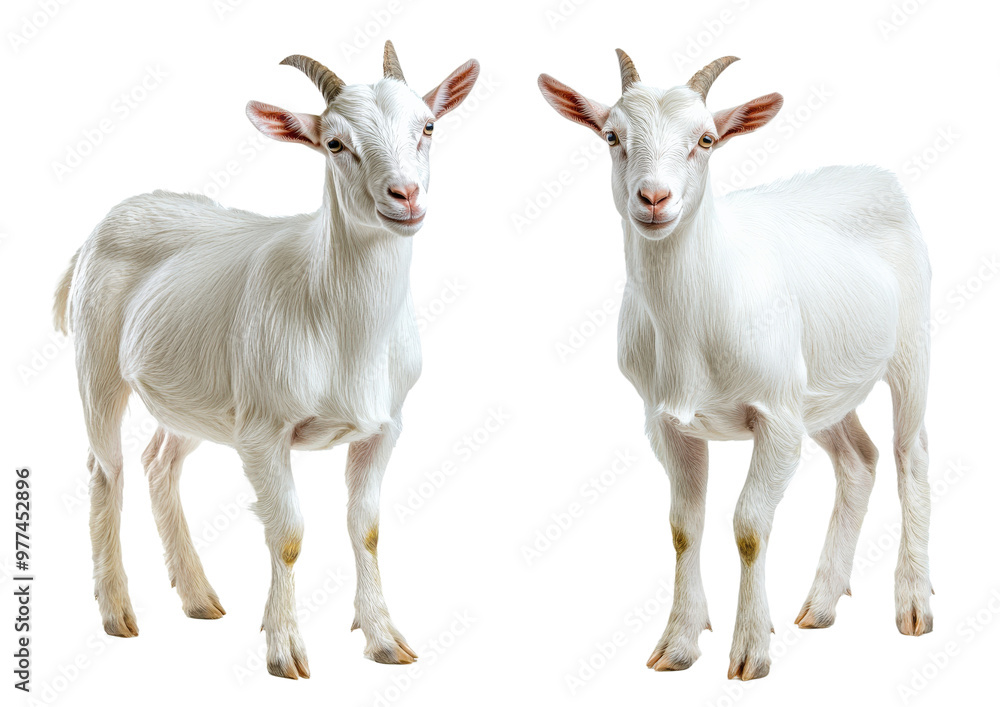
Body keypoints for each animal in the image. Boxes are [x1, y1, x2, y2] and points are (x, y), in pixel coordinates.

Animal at [53, 42, 480, 679]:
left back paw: (199, 597)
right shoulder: (262, 430)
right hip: (98, 365)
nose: (405, 195)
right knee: (107, 470)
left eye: (427, 126)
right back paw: (117, 612)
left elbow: (367, 529)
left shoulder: (384, 427)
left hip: (193, 400)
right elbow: (288, 535)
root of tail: (98, 228)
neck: (338, 321)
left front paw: (384, 640)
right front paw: (285, 651)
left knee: (159, 462)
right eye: (335, 143)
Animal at [538, 52, 932, 680]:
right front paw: (678, 643)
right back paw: (821, 605)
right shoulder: (669, 421)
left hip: (911, 344)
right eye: (611, 136)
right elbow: (683, 526)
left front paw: (750, 650)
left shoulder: (775, 417)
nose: (654, 198)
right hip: (819, 392)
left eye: (706, 139)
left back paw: (913, 605)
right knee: (859, 461)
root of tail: (877, 177)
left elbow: (749, 525)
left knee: (909, 455)